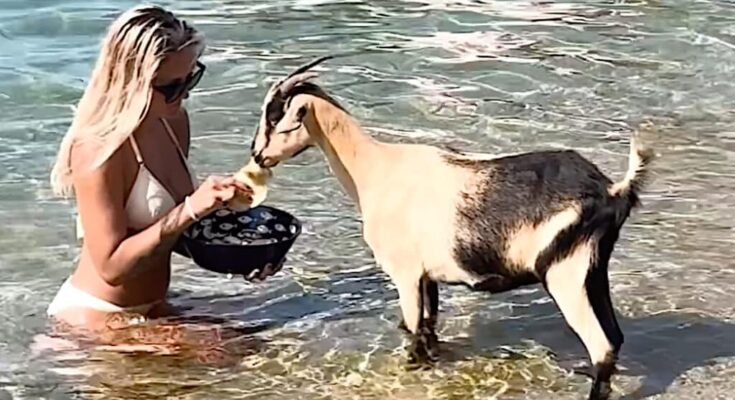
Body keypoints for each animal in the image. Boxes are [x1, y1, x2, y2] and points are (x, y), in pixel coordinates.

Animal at [247, 57, 656, 400]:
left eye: (274, 117)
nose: (257, 156)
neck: (376, 170)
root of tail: (613, 190)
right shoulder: (427, 276)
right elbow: (428, 325)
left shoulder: (405, 274)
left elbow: (413, 330)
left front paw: (412, 370)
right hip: (594, 270)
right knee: (615, 337)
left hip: (565, 274)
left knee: (601, 346)